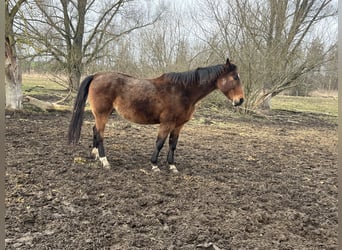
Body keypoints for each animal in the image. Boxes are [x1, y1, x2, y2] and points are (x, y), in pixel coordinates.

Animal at [67, 57, 243, 173]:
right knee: (100, 134)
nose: (240, 100)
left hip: (103, 114)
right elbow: (160, 143)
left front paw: (172, 166)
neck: (183, 91)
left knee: (95, 131)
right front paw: (154, 165)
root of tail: (96, 75)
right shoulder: (166, 123)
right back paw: (105, 161)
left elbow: (173, 144)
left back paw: (95, 155)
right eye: (234, 77)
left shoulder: (178, 125)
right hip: (102, 114)